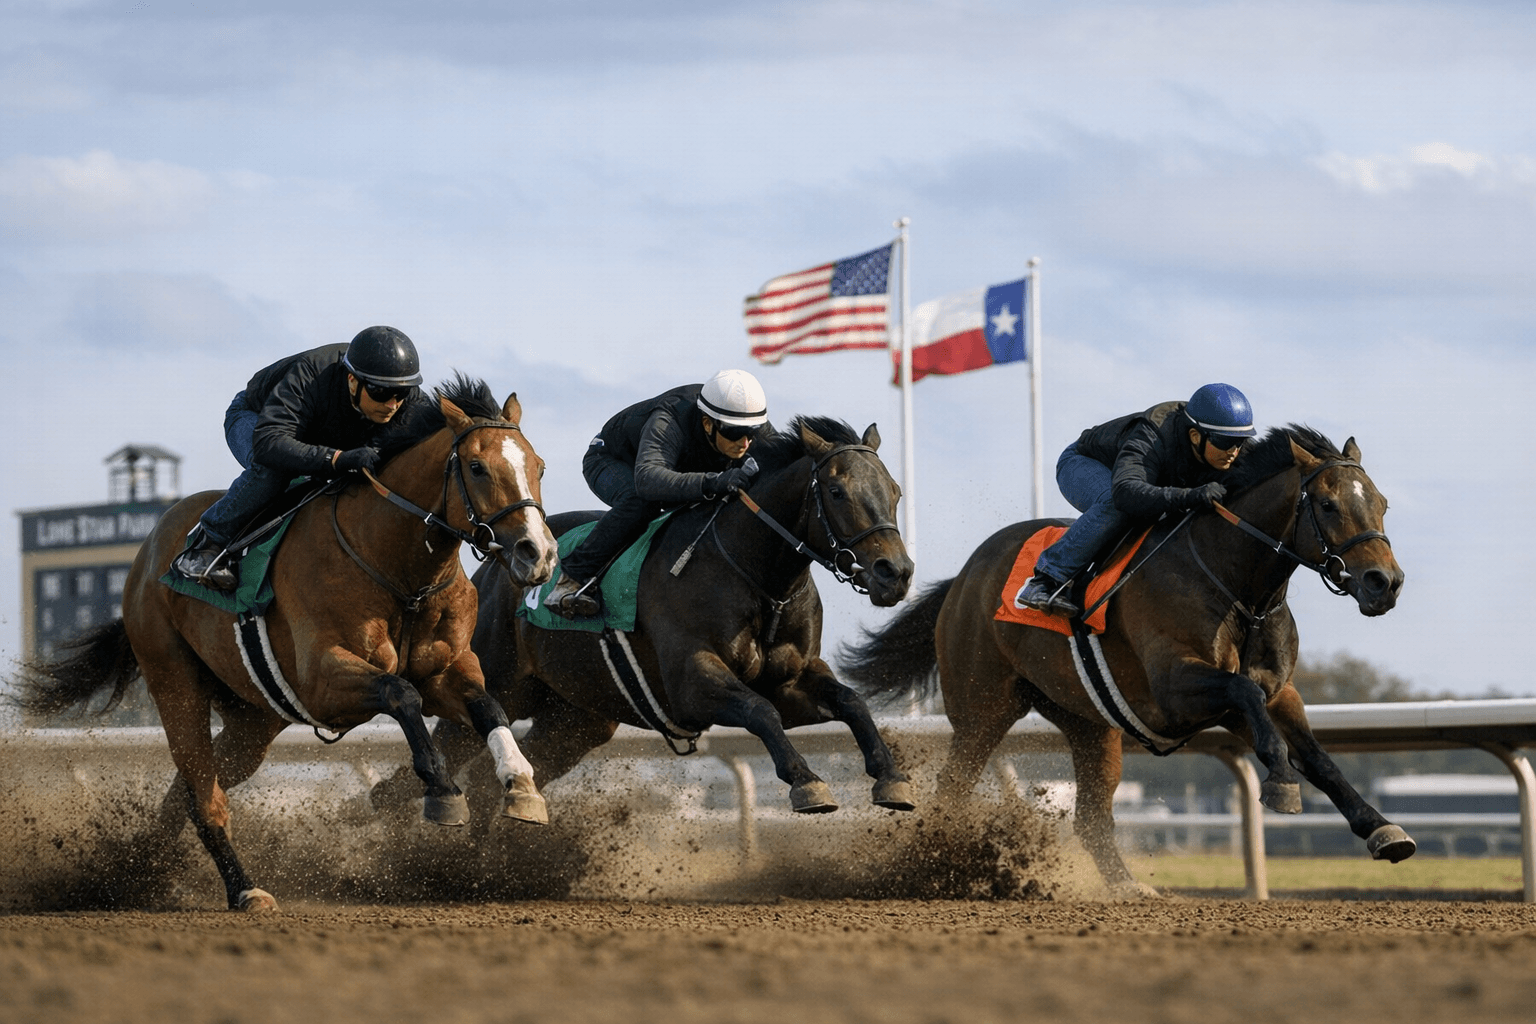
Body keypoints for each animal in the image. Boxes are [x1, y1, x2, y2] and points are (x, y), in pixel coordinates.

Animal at [16, 375, 560, 912]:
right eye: (477, 467)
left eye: (538, 466)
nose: (538, 554)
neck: (399, 569)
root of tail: (147, 552)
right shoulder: (324, 680)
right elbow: (400, 693)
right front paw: (443, 791)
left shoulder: (447, 670)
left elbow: (488, 705)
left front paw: (521, 786)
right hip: (174, 681)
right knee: (204, 793)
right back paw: (243, 889)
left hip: (254, 720)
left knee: (188, 791)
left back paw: (141, 872)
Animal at [373, 415, 918, 820]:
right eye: (837, 492)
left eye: (894, 490)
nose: (895, 573)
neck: (758, 578)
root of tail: (493, 568)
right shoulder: (693, 683)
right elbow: (761, 713)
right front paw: (807, 781)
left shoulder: (791, 679)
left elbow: (851, 702)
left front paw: (891, 776)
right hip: (497, 686)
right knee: (425, 770)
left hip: (576, 721)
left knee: (497, 783)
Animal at [839, 426, 1412, 894]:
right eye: (1329, 504)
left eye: (1382, 503)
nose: (1384, 583)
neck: (1237, 586)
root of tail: (963, 579)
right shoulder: (1177, 689)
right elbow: (1249, 701)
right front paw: (1281, 784)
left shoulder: (1277, 692)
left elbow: (1317, 756)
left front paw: (1383, 829)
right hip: (983, 708)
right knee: (953, 788)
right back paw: (931, 867)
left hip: (1090, 723)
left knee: (1090, 817)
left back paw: (1127, 885)